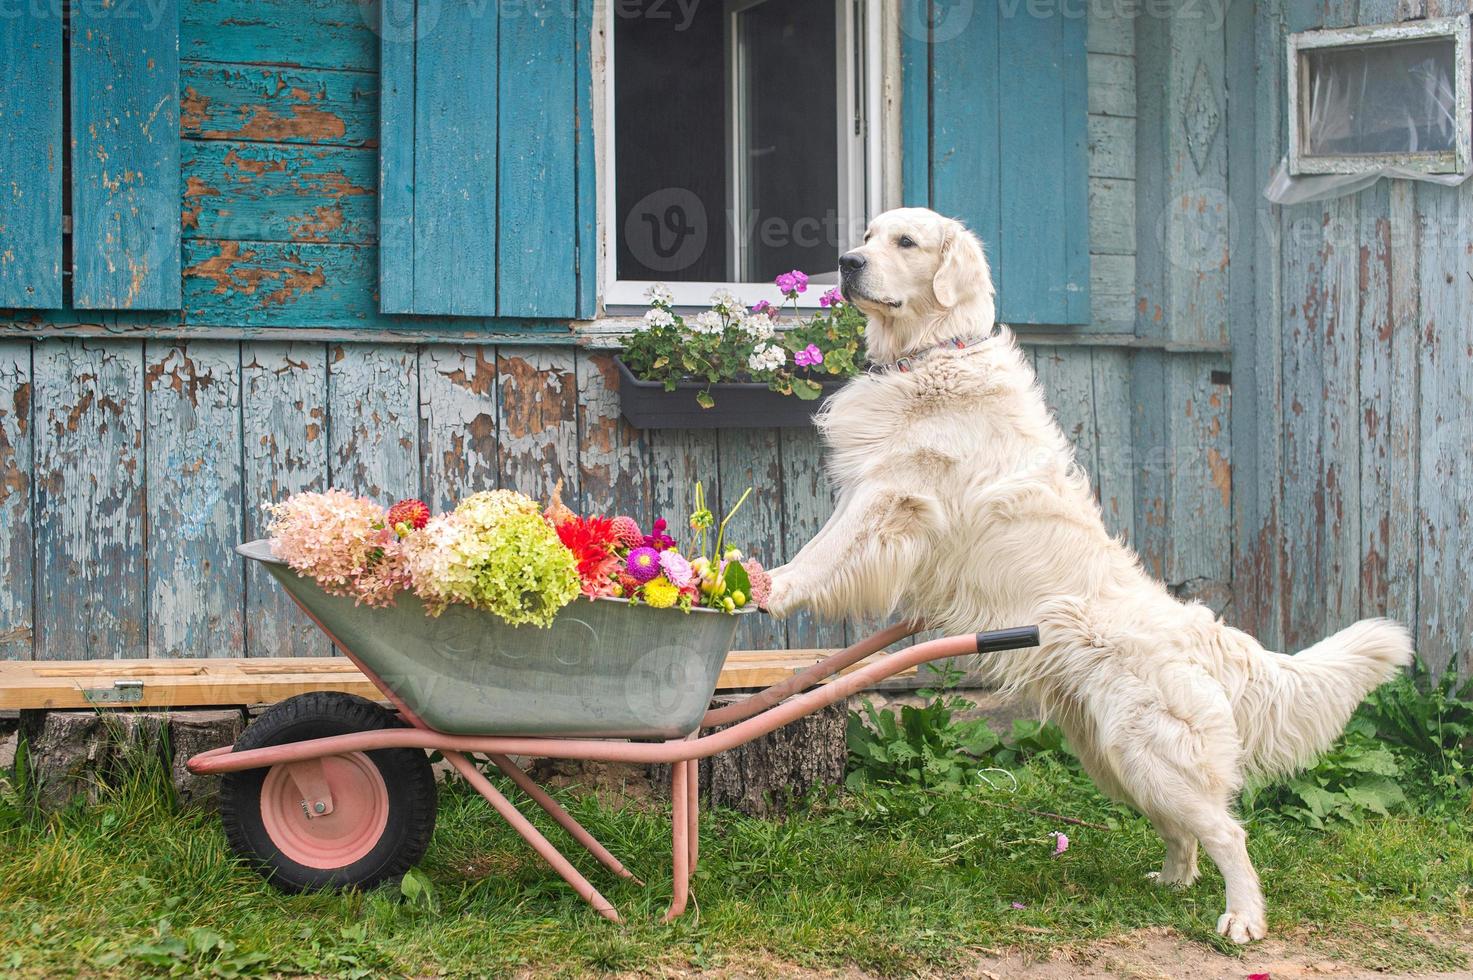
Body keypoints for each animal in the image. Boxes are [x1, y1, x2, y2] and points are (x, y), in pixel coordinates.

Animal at [765, 204, 1408, 943]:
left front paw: (771, 587)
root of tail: (1197, 629)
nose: (845, 263)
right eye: (868, 235)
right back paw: (1169, 882)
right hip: (1113, 757)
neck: (934, 352)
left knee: (1228, 833)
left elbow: (822, 551)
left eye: (905, 242)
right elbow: (827, 543)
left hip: (1152, 754)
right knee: (1185, 834)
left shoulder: (891, 493)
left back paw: (1242, 918)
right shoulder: (877, 492)